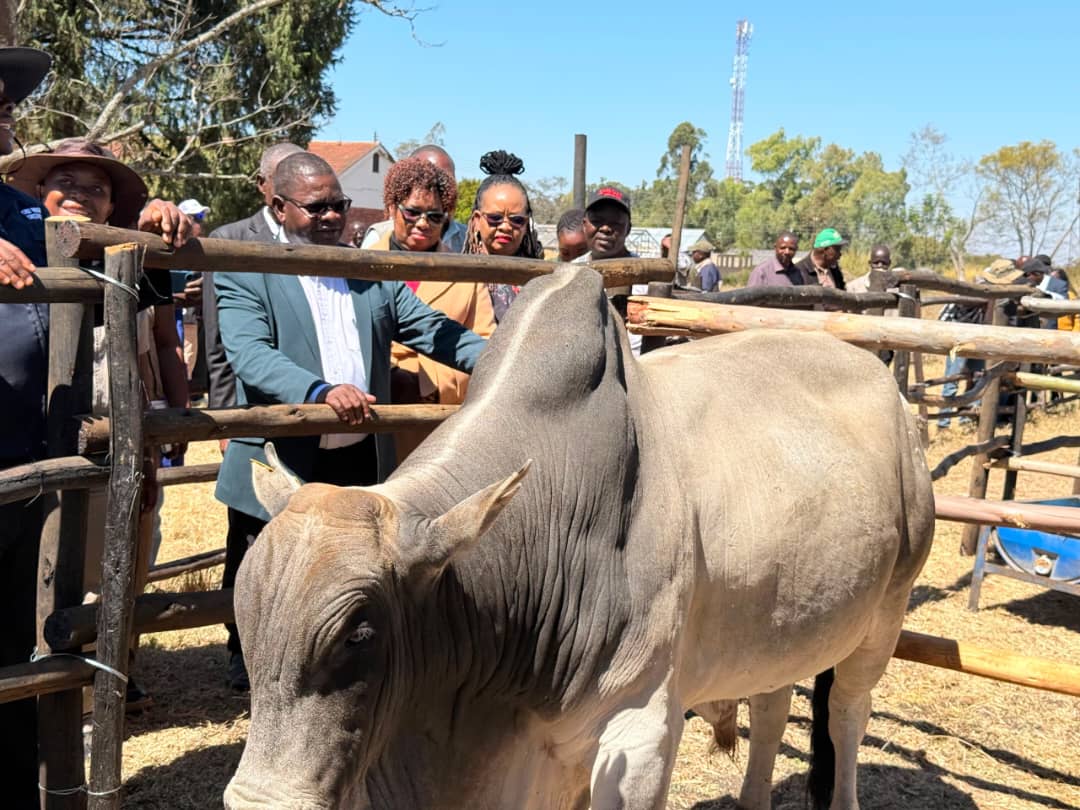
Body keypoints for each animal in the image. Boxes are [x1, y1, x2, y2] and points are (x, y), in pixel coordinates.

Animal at [223, 265, 934, 810]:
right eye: (244, 614)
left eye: (360, 634)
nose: (260, 803)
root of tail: (888, 383)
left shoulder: (641, 735)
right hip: (783, 619)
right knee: (771, 706)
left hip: (886, 613)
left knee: (847, 713)